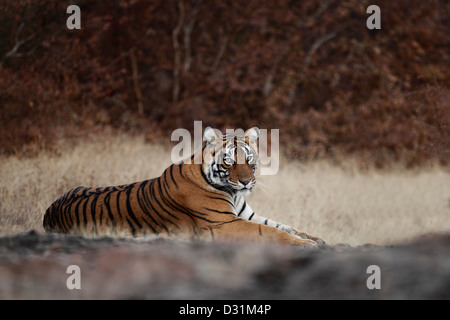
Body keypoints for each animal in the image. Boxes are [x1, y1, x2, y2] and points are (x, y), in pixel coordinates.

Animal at [44, 126, 326, 246]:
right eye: (229, 161)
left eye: (249, 159)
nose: (247, 181)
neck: (233, 193)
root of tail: (49, 211)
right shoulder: (222, 224)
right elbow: (269, 232)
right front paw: (306, 245)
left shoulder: (246, 215)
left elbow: (283, 226)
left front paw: (315, 238)